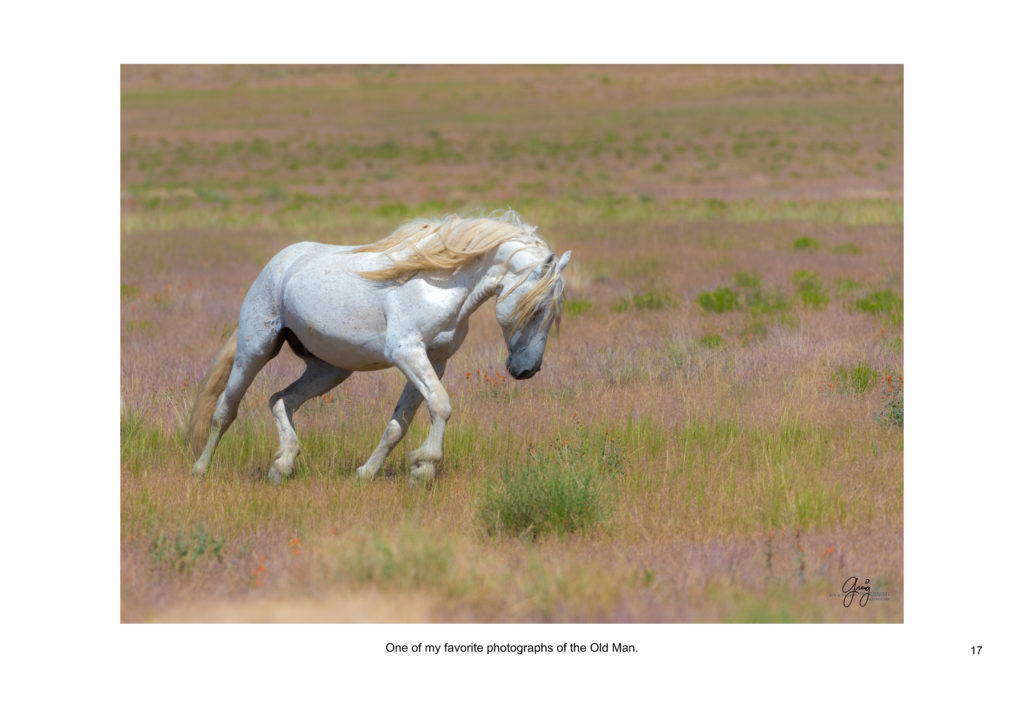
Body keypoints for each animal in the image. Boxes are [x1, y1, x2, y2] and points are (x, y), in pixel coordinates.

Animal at [189, 210, 573, 487]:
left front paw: (367, 473)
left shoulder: (435, 361)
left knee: (281, 400)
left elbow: (399, 423)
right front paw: (424, 468)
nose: (527, 370)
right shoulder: (407, 353)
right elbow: (441, 404)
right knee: (225, 410)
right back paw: (201, 470)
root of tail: (278, 263)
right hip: (255, 350)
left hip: (330, 369)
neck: (440, 284)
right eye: (537, 308)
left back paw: (282, 466)